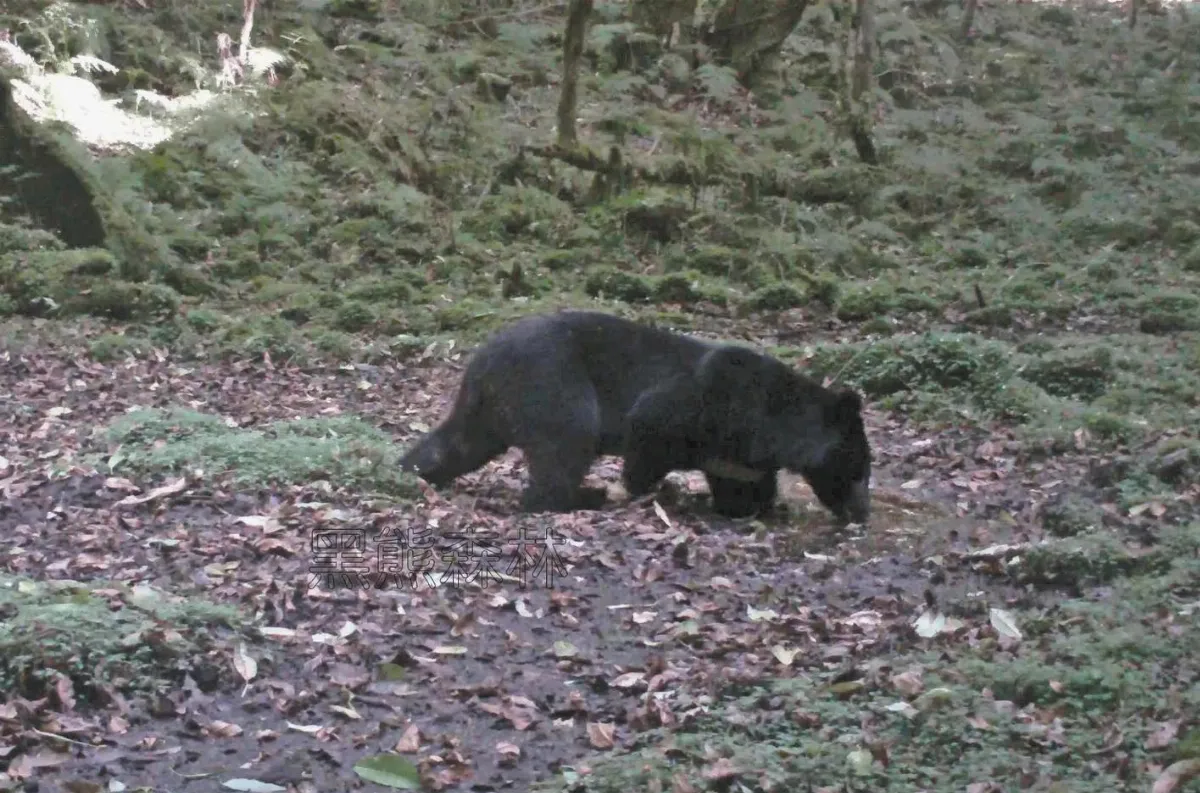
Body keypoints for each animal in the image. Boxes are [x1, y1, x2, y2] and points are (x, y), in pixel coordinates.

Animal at [397, 310, 871, 523]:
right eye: (860, 469)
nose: (862, 512)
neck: (770, 424)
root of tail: (483, 361)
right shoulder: (712, 398)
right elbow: (650, 422)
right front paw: (644, 489)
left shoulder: (736, 450)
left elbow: (738, 480)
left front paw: (751, 505)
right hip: (552, 381)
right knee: (567, 443)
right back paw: (579, 495)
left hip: (485, 412)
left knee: (454, 444)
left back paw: (410, 469)